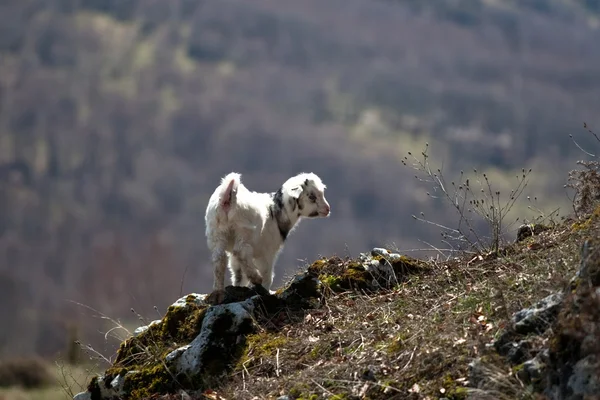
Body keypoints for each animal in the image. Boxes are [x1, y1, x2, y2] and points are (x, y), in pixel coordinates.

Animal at [204, 172, 330, 304]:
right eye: (312, 196)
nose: (327, 209)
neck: (276, 212)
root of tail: (228, 197)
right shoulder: (267, 252)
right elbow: (267, 273)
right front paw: (265, 289)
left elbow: (238, 274)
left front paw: (239, 286)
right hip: (244, 230)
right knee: (241, 251)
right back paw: (256, 278)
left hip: (216, 231)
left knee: (219, 258)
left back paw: (217, 294)